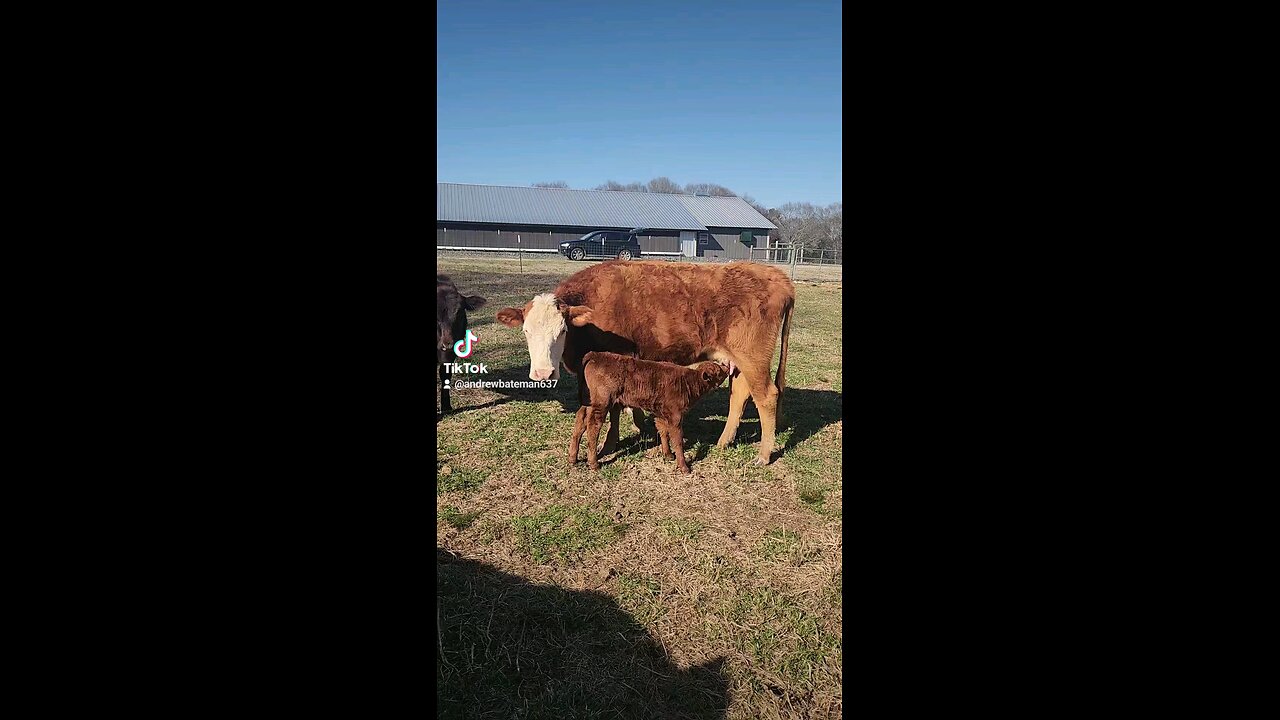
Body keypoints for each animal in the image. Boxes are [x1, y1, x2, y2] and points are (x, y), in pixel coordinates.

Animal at [573, 351, 732, 471]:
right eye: (718, 371)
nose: (727, 367)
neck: (687, 382)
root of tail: (596, 354)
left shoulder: (660, 414)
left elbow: (663, 432)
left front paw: (668, 455)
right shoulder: (676, 417)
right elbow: (677, 441)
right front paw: (684, 467)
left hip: (589, 402)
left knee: (580, 421)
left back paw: (572, 458)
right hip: (601, 404)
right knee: (593, 427)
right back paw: (593, 464)